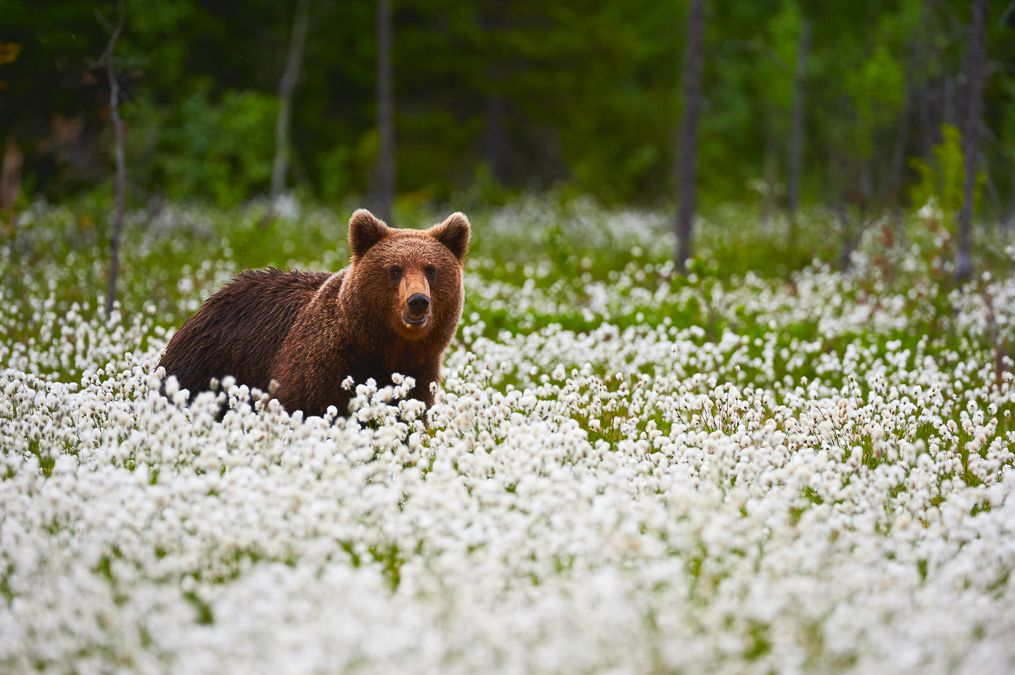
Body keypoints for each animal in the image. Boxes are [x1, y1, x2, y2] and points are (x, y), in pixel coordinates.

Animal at [158, 208, 470, 417]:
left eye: (431, 269)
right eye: (394, 269)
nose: (418, 301)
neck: (384, 347)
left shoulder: (418, 373)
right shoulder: (323, 367)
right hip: (208, 363)